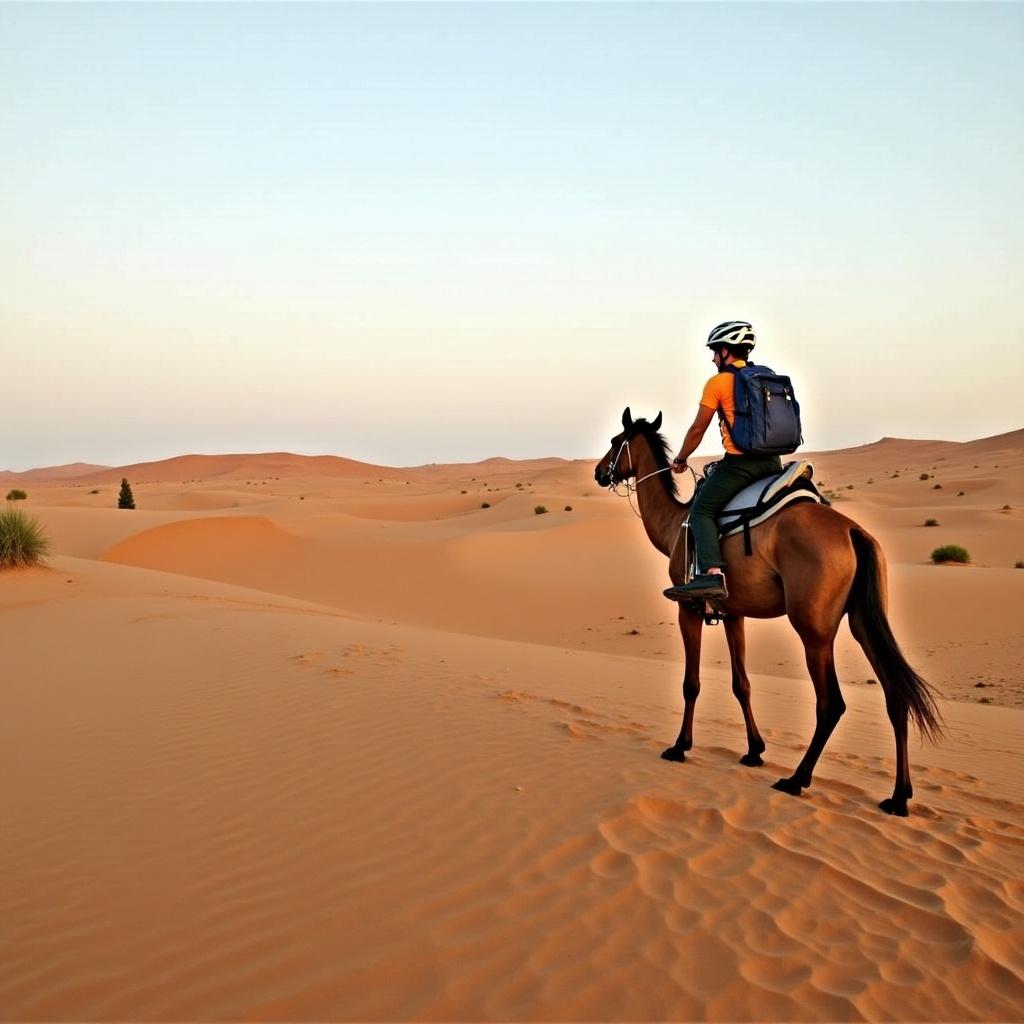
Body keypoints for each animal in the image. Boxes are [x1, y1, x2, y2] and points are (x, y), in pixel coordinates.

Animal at [593, 407, 942, 815]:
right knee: (895, 694)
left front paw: (679, 747)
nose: (599, 472)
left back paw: (796, 780)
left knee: (831, 703)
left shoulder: (688, 607)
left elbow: (691, 684)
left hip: (813, 628)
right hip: (863, 619)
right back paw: (898, 797)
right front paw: (754, 751)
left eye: (616, 441)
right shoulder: (733, 612)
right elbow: (741, 683)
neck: (672, 525)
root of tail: (855, 534)